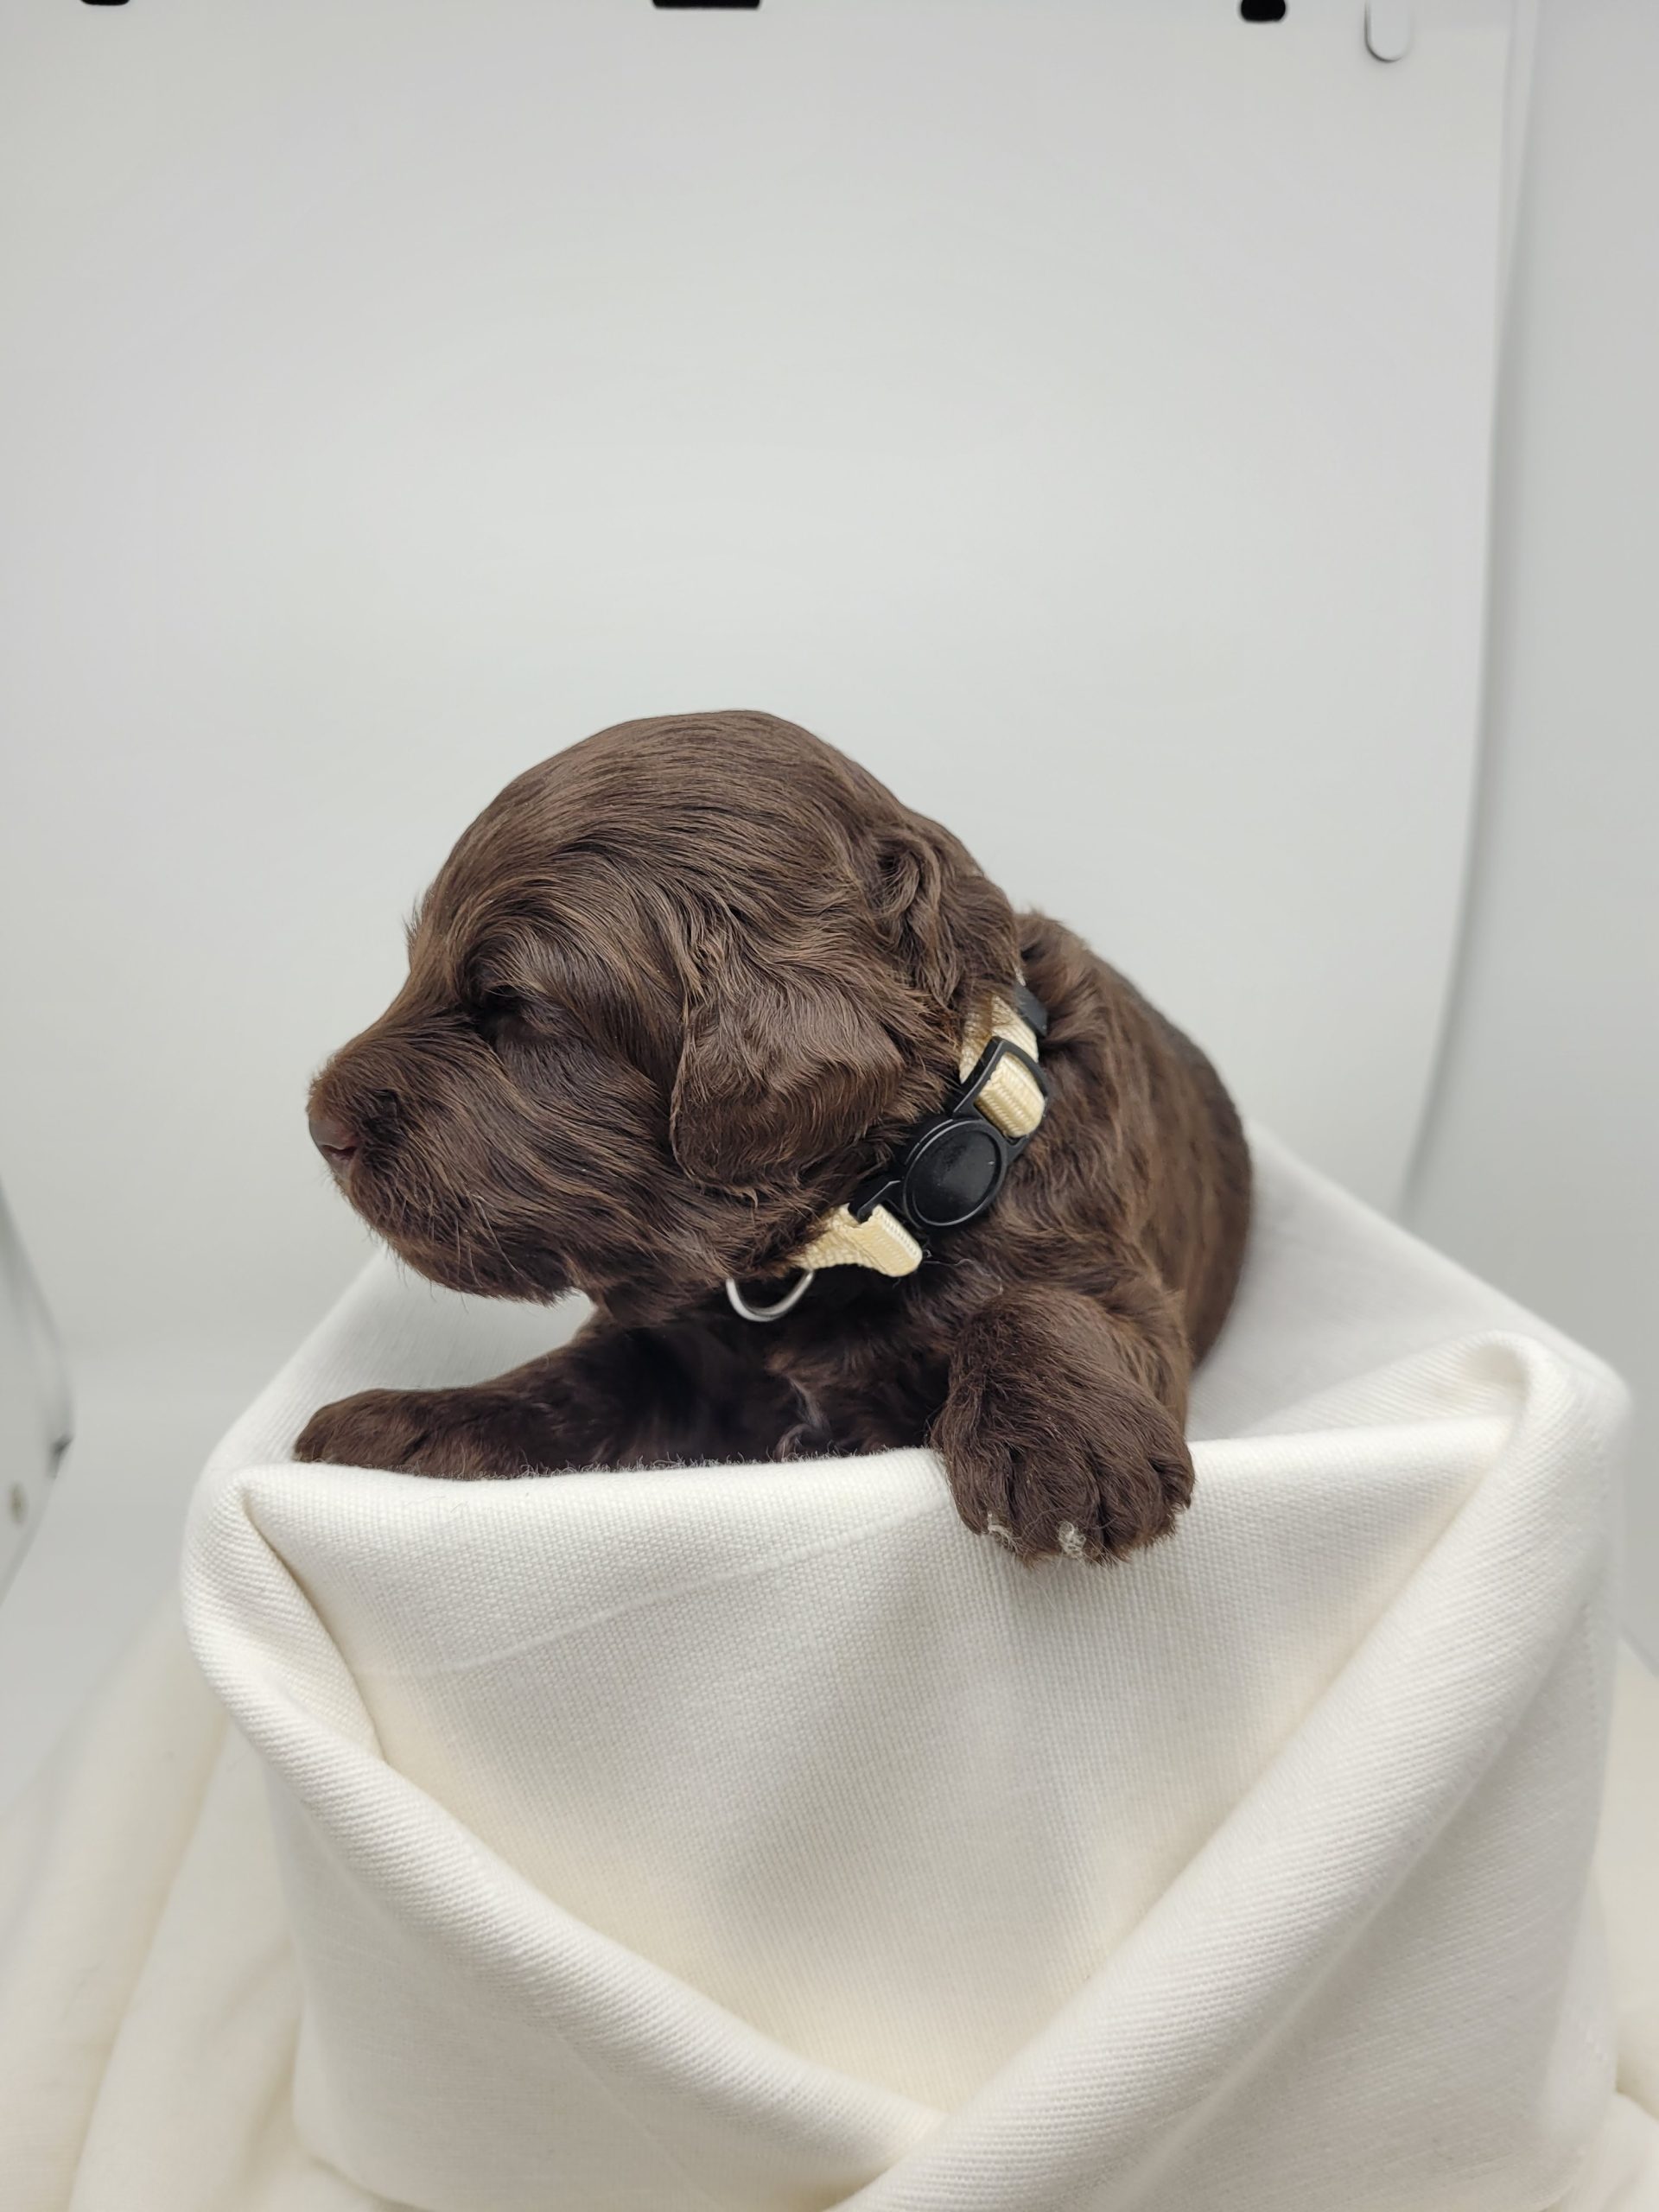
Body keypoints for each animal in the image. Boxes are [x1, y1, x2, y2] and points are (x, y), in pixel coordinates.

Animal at [295, 711, 1251, 1563]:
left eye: (512, 1005)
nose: (319, 1123)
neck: (856, 1232)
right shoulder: (667, 1345)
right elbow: (567, 1382)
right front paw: (406, 1423)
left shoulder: (1110, 1272)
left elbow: (1042, 1301)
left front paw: (1059, 1449)